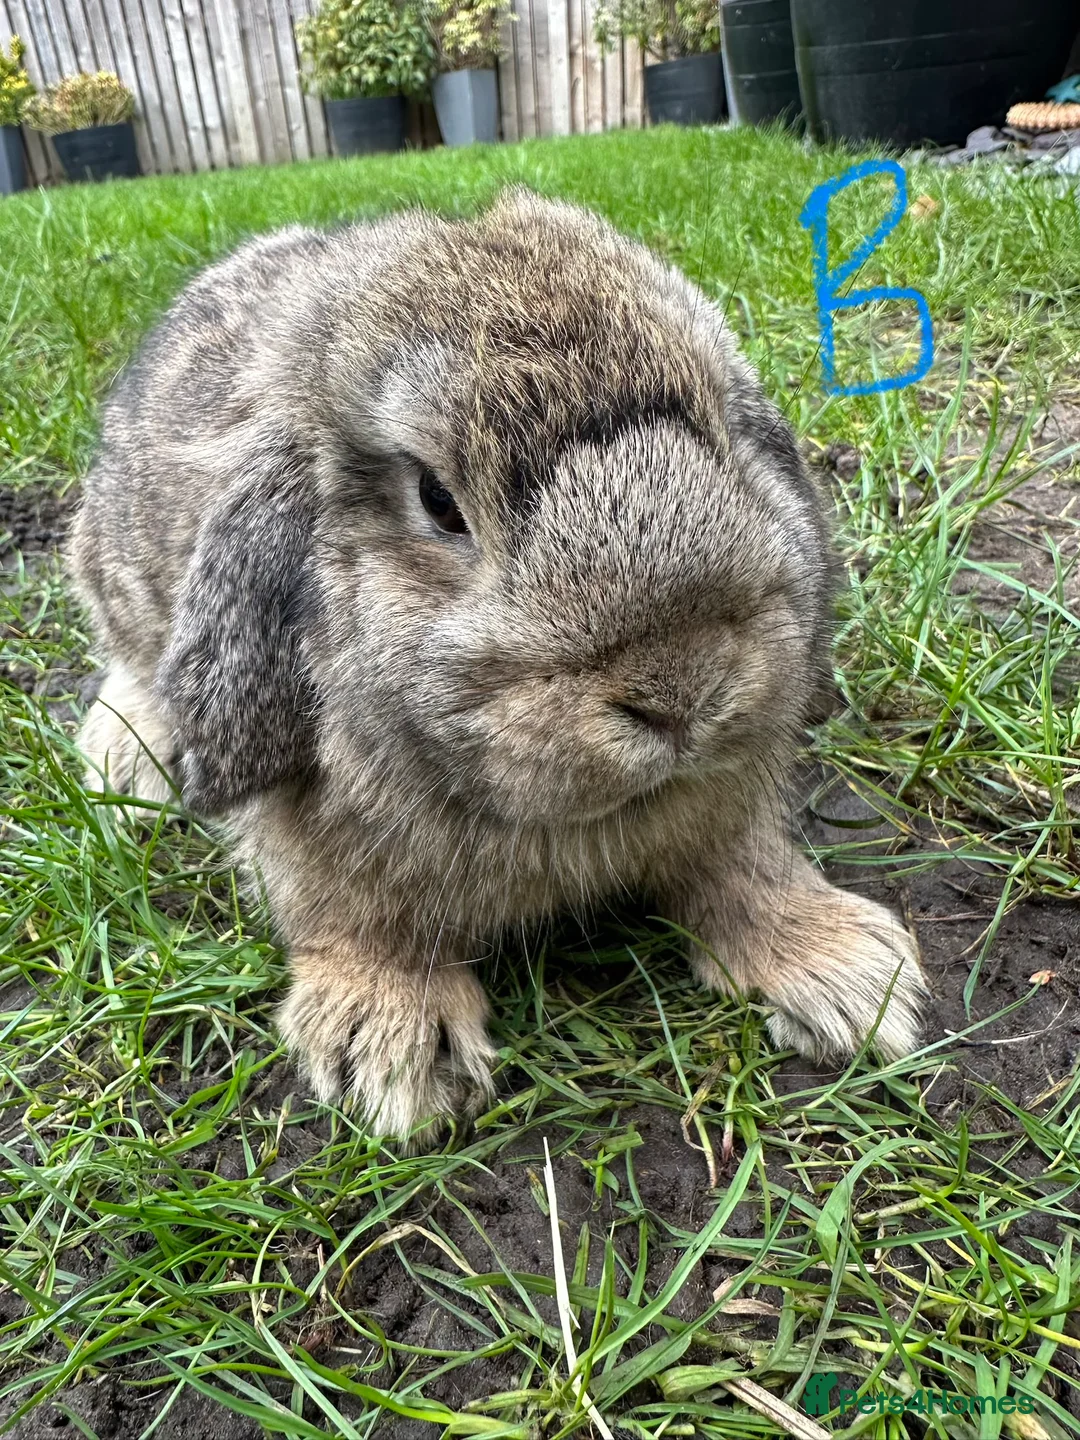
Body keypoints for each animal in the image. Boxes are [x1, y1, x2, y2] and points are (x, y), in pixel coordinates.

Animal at [69, 189, 927, 1142]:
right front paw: (395, 1055)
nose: (679, 691)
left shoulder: (727, 809)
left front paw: (850, 978)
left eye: (725, 436)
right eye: (439, 503)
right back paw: (125, 757)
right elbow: (359, 924)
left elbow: (742, 865)